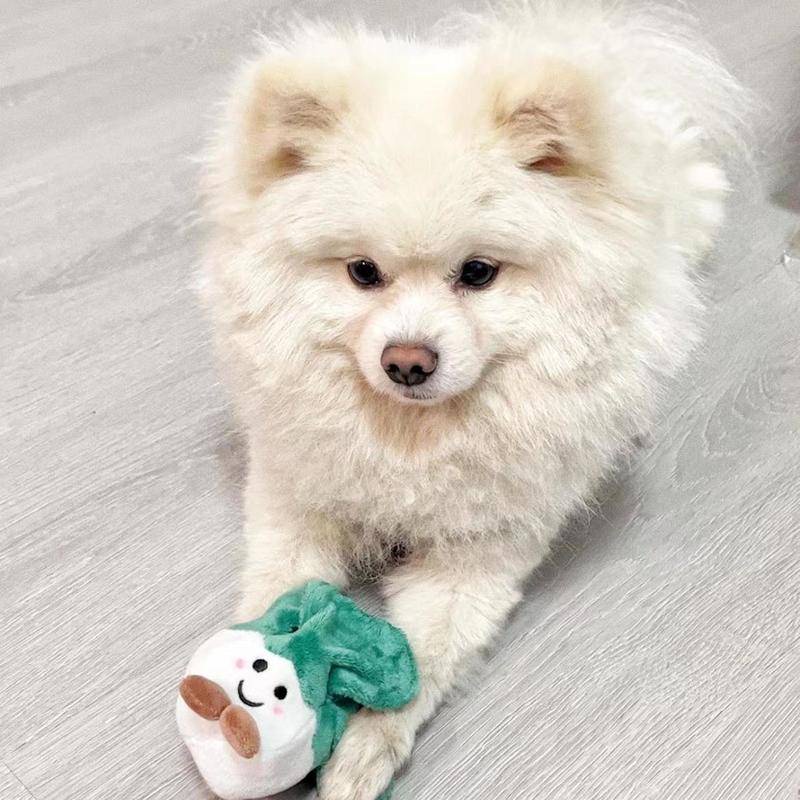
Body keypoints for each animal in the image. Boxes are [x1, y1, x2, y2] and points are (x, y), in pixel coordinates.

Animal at [200, 2, 750, 797]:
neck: (409, 439)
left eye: (479, 273)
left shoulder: (477, 557)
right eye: (362, 272)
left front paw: (364, 750)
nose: (407, 362)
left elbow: (424, 658)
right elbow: (275, 591)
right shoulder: (296, 498)